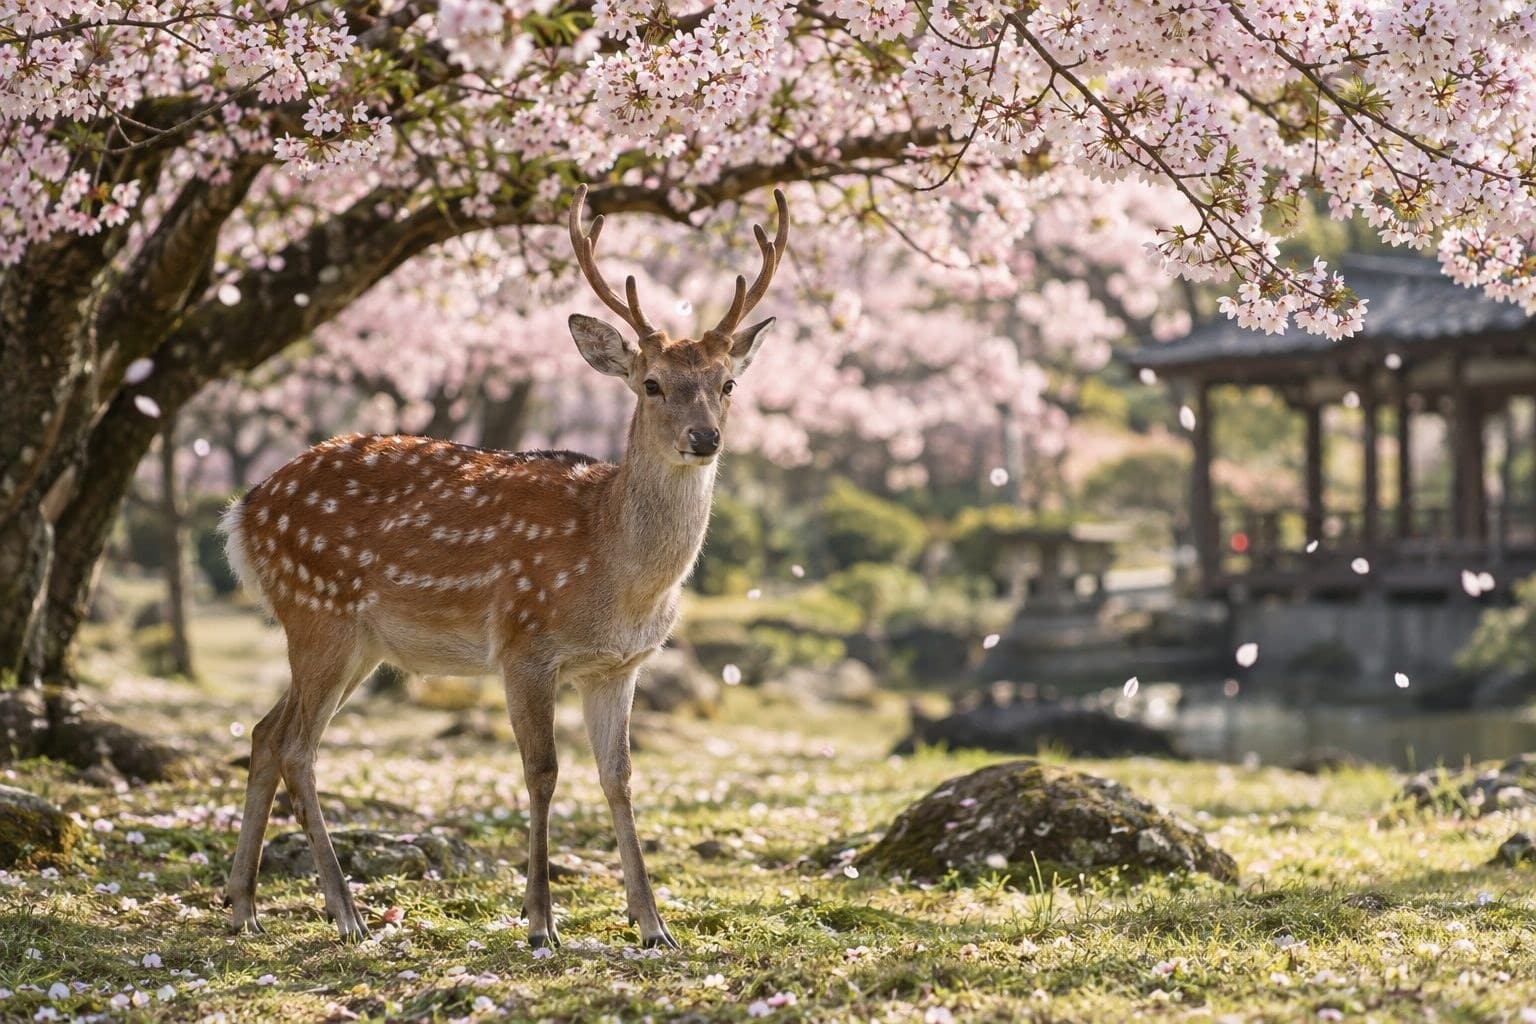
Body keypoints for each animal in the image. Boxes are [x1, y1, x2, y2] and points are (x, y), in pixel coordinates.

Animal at [219, 184, 789, 950]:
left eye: (727, 383)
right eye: (652, 384)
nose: (704, 438)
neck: (618, 577)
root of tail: (243, 513)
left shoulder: (619, 666)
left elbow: (619, 777)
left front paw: (654, 926)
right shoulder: (524, 642)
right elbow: (542, 771)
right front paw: (541, 923)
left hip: (357, 642)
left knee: (263, 733)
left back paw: (243, 905)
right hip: (318, 612)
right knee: (297, 746)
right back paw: (347, 913)